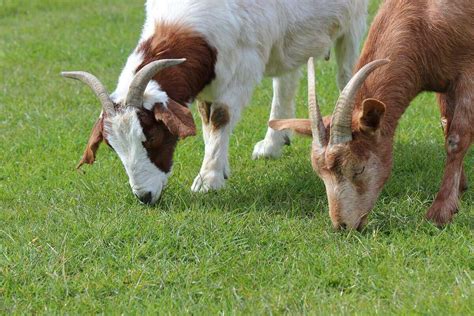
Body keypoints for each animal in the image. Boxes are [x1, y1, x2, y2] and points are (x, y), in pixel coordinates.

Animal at [270, 0, 474, 228]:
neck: (425, 18)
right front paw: (461, 188)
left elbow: (456, 138)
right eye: (320, 173)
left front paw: (440, 212)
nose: (342, 226)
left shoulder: (467, 74)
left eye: (359, 168)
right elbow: (445, 125)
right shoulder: (443, 82)